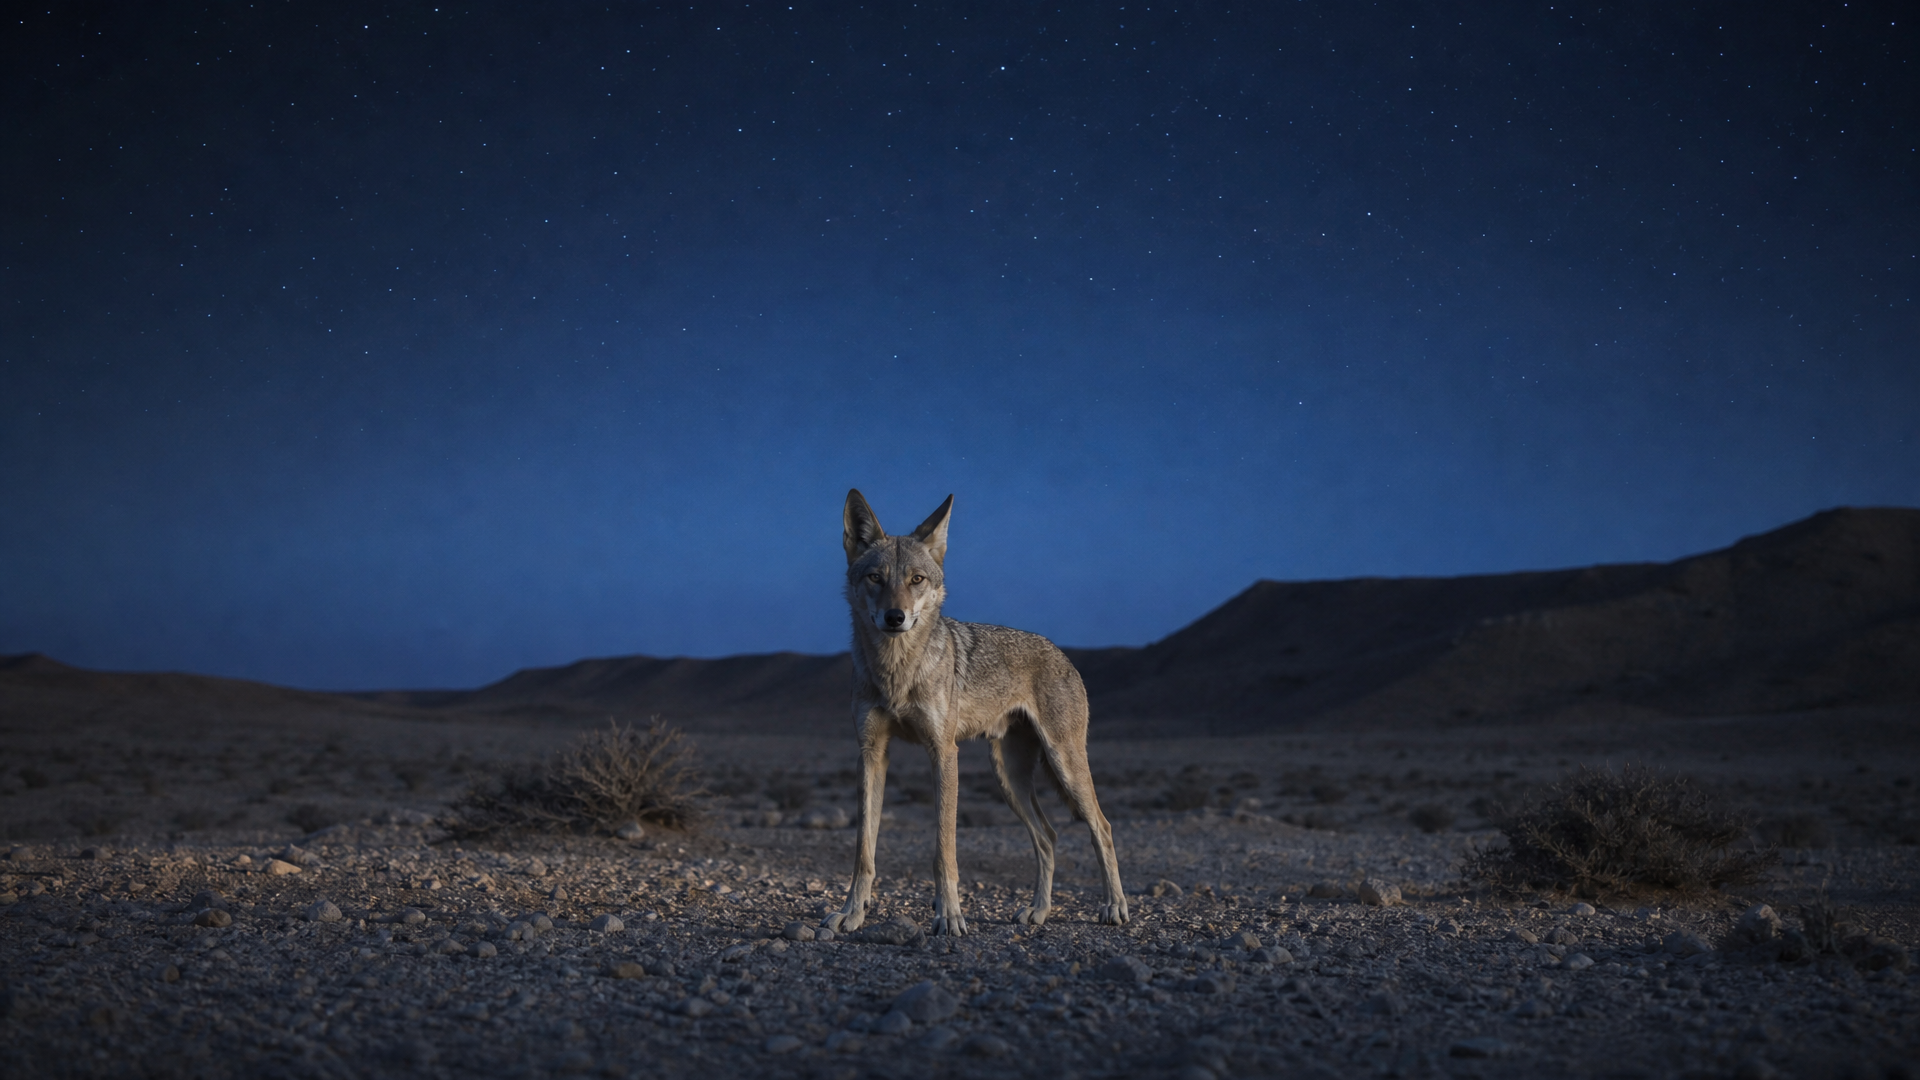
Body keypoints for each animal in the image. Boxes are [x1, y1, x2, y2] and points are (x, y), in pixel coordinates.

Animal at [824, 489, 1128, 937]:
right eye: (875, 578)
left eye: (917, 579)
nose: (895, 617)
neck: (896, 670)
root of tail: (1062, 653)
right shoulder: (871, 753)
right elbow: (864, 848)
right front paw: (852, 912)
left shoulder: (943, 751)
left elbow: (943, 849)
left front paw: (949, 915)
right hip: (1009, 778)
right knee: (1049, 836)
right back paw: (1038, 911)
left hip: (1064, 764)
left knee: (1101, 828)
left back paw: (1114, 906)